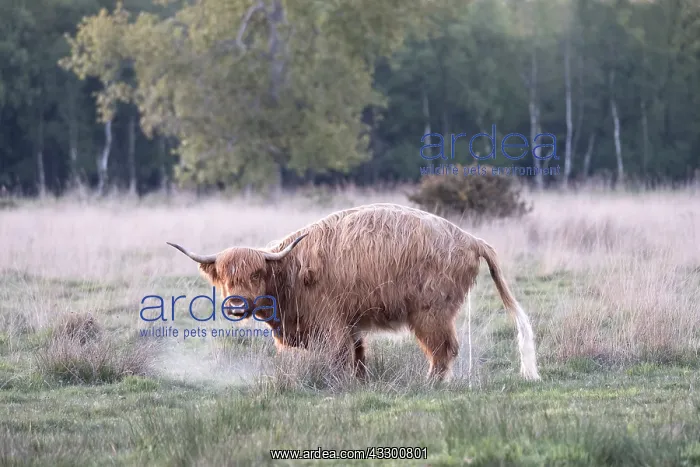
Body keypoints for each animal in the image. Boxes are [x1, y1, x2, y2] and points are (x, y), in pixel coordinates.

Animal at [167, 203, 540, 382]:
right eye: (223, 278)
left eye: (257, 273)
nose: (235, 306)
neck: (288, 274)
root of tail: (470, 238)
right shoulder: (350, 325)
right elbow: (359, 357)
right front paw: (361, 382)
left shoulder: (330, 325)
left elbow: (339, 359)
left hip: (431, 312)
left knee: (443, 349)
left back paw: (430, 383)